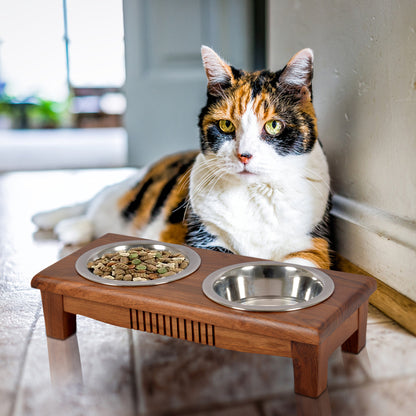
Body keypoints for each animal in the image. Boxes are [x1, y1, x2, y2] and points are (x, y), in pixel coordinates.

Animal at [31, 46, 332, 270]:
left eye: (273, 126)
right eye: (226, 125)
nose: (244, 155)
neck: (254, 196)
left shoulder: (313, 245)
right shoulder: (204, 237)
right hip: (124, 195)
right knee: (96, 204)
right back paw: (63, 225)